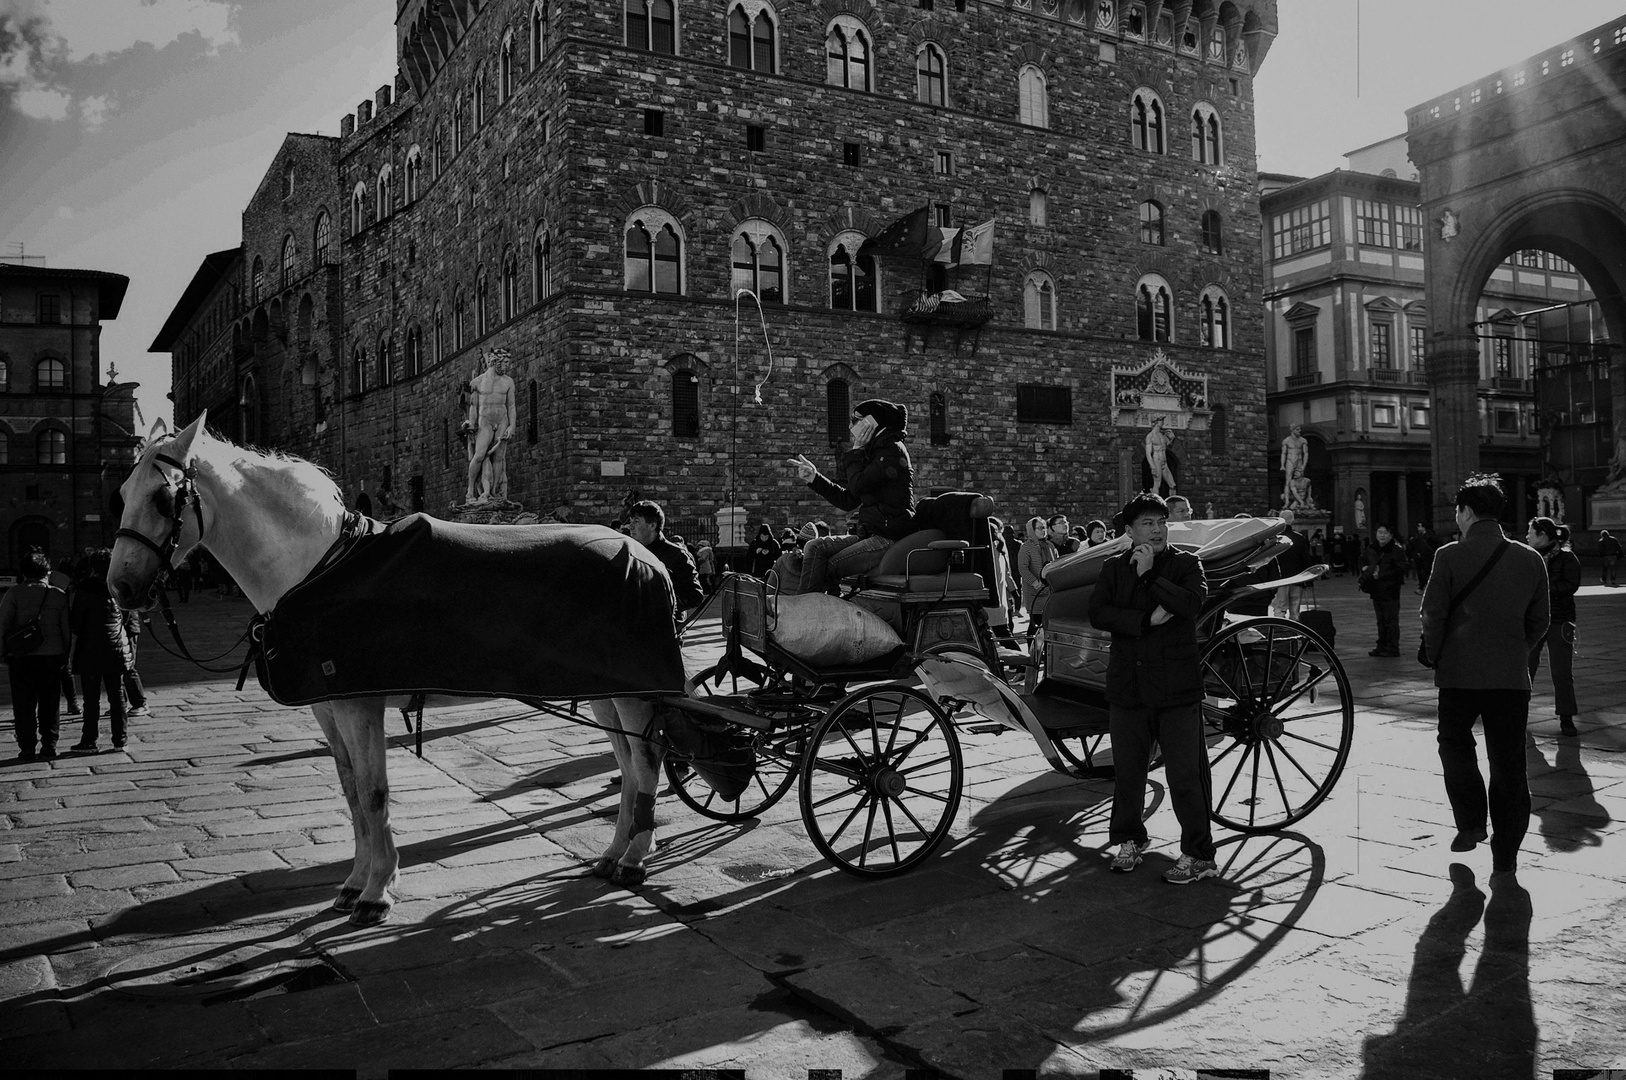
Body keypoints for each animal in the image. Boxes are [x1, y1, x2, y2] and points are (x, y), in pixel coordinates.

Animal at [108, 413, 669, 930]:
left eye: (163, 499)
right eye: (122, 493)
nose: (119, 587)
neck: (318, 563)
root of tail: (645, 553)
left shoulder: (361, 701)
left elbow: (374, 792)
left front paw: (377, 890)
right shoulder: (328, 706)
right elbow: (351, 789)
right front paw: (356, 881)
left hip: (635, 691)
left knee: (646, 761)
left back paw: (634, 859)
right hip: (607, 690)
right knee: (626, 764)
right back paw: (615, 852)